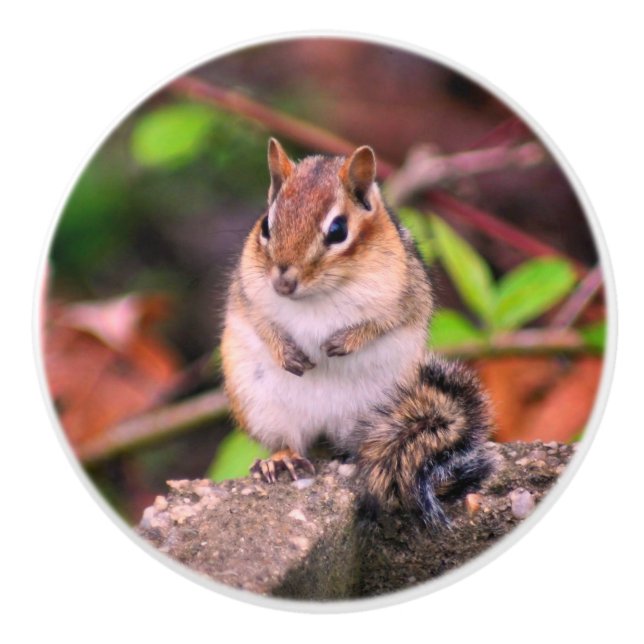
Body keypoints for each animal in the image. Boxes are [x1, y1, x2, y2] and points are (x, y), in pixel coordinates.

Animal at [221, 138, 494, 526]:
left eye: (338, 231)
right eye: (266, 226)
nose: (283, 283)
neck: (318, 296)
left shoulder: (406, 295)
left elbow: (386, 320)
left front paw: (346, 341)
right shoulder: (247, 293)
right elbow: (260, 321)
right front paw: (285, 351)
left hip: (383, 407)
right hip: (262, 405)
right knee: (289, 440)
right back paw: (282, 460)